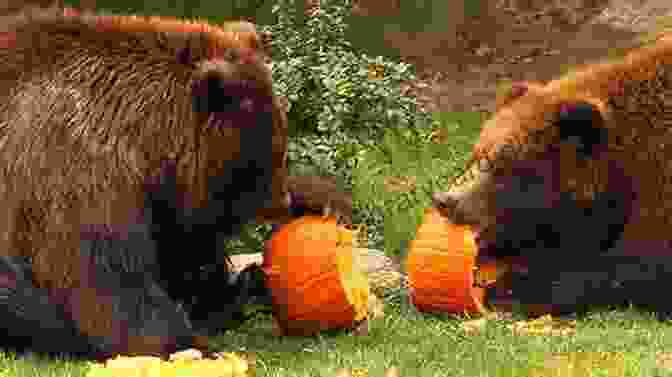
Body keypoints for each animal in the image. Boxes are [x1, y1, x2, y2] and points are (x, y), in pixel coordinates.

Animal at [0, 6, 352, 358]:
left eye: (281, 149)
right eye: (260, 160)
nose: (281, 202)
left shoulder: (164, 199)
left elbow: (185, 252)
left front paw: (322, 200)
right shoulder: (77, 168)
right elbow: (104, 276)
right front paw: (192, 344)